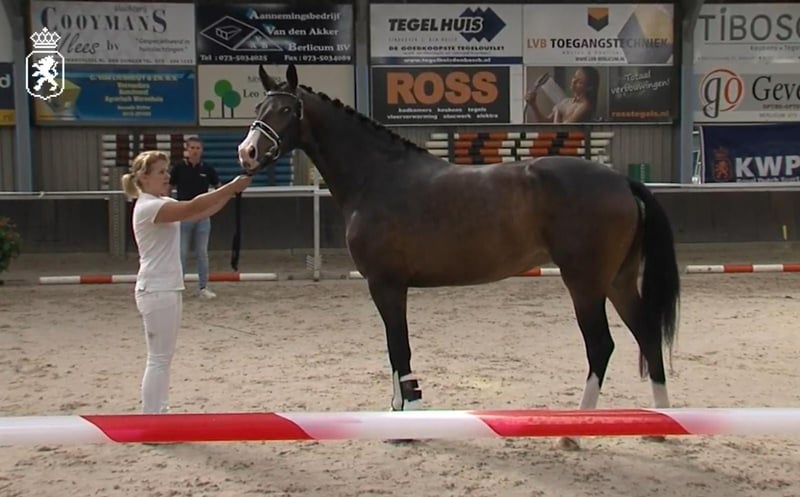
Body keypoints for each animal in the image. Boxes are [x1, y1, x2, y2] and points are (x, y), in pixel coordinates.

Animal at [237, 64, 680, 450]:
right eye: (259, 110)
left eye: (286, 110)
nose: (248, 151)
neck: (378, 177)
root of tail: (621, 180)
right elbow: (395, 350)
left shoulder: (386, 285)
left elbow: (399, 348)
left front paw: (407, 420)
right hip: (617, 282)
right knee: (646, 332)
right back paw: (662, 426)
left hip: (585, 285)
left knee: (601, 346)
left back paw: (572, 433)